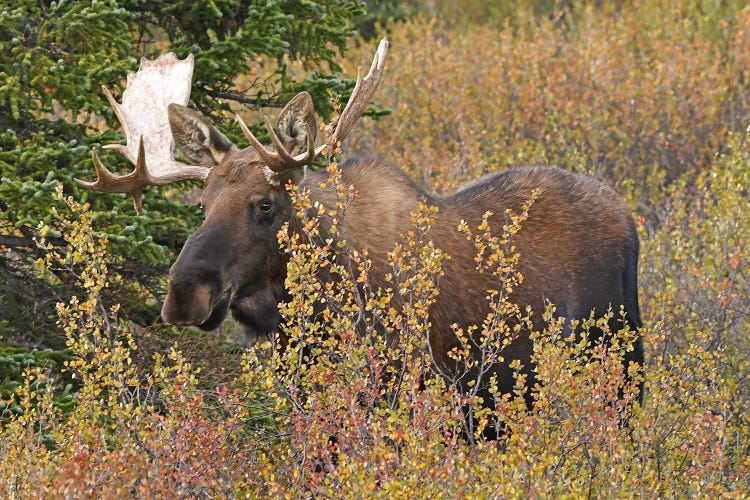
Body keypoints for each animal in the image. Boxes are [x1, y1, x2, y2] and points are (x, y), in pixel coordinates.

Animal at [77, 39, 644, 439]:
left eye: (265, 204)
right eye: (202, 203)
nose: (184, 292)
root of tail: (625, 211)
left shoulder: (402, 388)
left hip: (621, 356)